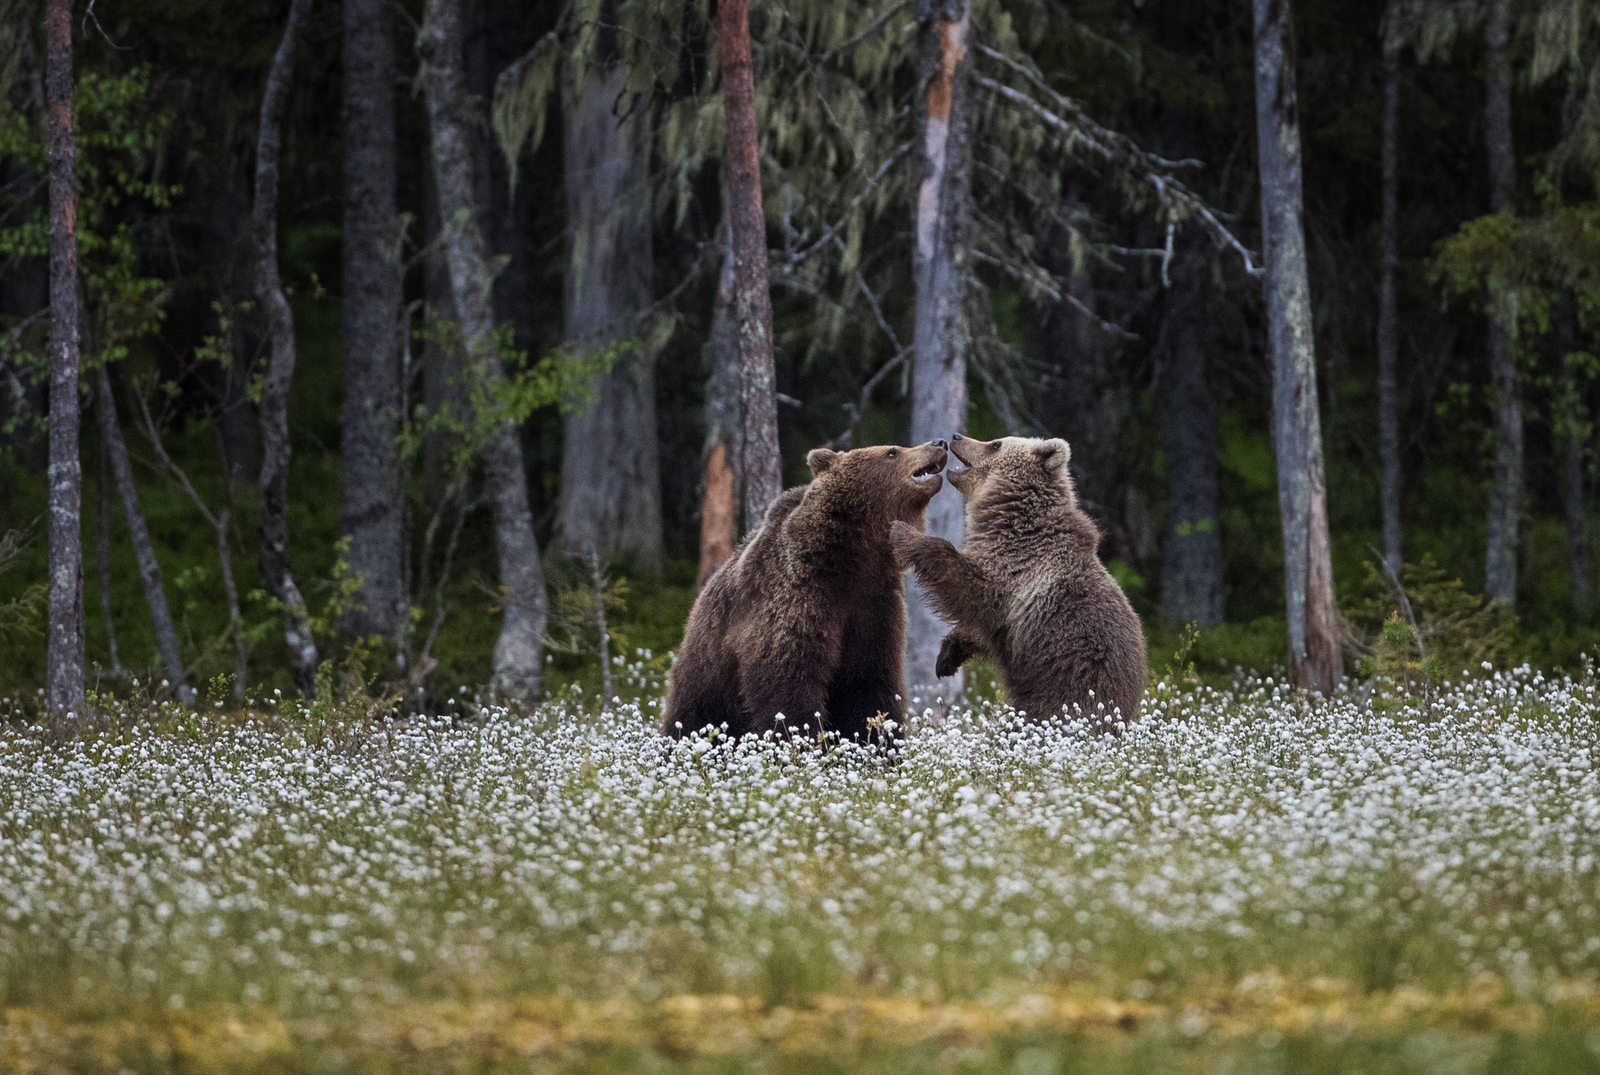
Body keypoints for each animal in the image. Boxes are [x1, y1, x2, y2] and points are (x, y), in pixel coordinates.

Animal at [662, 441, 947, 742]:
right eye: (892, 452)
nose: (938, 443)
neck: (853, 561)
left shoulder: (874, 607)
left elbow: (869, 680)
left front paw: (879, 741)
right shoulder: (798, 599)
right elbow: (788, 678)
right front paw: (804, 739)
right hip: (707, 671)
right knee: (695, 712)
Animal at [889, 431, 1152, 726]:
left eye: (994, 445)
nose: (956, 436)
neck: (1014, 523)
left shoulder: (1018, 572)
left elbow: (972, 590)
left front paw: (904, 533)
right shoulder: (1008, 617)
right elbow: (984, 627)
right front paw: (947, 656)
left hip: (1067, 677)